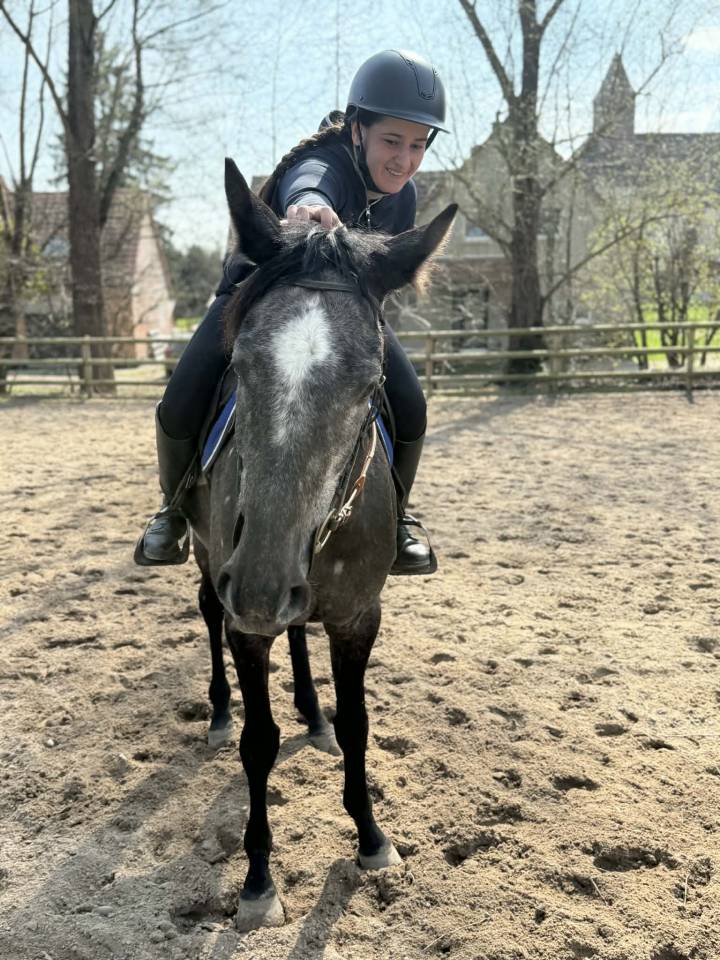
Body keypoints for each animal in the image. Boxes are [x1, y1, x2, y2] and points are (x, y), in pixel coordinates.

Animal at [184, 159, 456, 931]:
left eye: (370, 384)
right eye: (239, 364)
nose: (261, 586)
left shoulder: (359, 614)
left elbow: (361, 724)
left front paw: (371, 838)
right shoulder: (245, 615)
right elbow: (258, 741)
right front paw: (257, 880)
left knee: (300, 632)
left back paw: (312, 709)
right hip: (213, 562)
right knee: (209, 616)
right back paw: (220, 710)